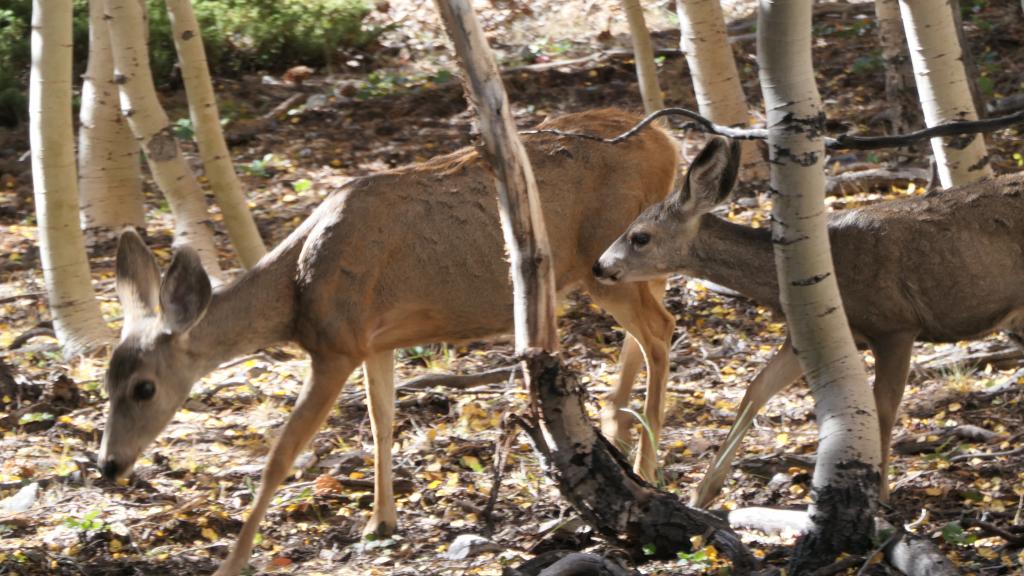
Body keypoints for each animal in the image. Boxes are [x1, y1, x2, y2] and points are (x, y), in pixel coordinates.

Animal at [99, 108, 679, 573]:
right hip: (627, 264)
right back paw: (615, 424)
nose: (108, 466)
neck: (296, 291)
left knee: (660, 332)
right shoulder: (375, 343)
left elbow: (281, 456)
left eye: (144, 387)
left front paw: (232, 562)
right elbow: (382, 421)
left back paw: (647, 468)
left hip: (603, 257)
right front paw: (380, 522)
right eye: (106, 381)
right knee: (658, 321)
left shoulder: (335, 344)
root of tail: (667, 141)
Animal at [593, 134, 1024, 506]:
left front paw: (879, 497)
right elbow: (757, 389)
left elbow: (883, 407)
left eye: (640, 236)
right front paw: (703, 492)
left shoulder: (895, 325)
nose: (599, 266)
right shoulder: (810, 334)